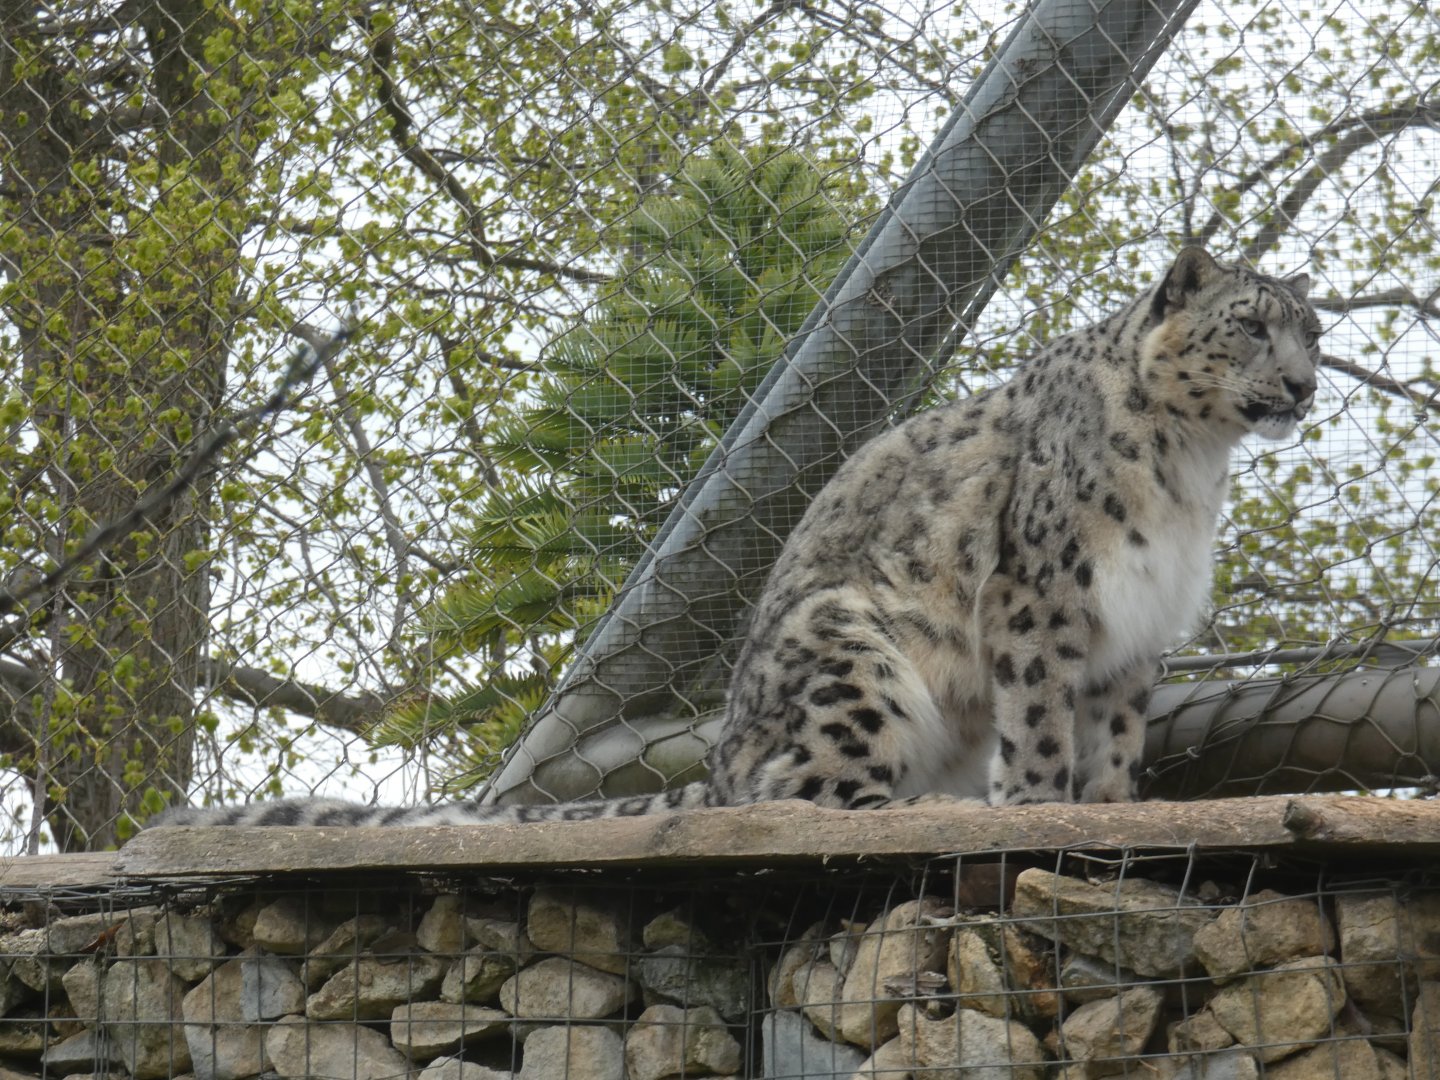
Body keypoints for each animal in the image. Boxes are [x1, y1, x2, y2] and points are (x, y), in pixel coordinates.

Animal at [151, 246, 1320, 828]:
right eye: (1250, 326)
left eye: (1312, 330)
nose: (1306, 384)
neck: (1191, 469)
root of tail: (716, 761)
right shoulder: (1043, 592)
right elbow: (1040, 719)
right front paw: (1038, 807)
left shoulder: (1139, 626)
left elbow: (1114, 734)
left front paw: (1116, 807)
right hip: (855, 653)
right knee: (793, 793)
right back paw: (886, 807)